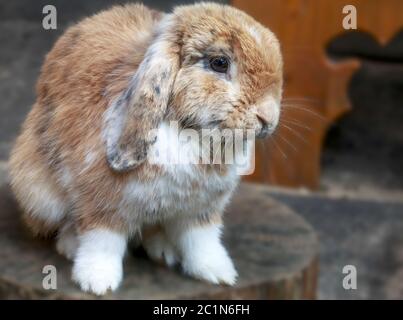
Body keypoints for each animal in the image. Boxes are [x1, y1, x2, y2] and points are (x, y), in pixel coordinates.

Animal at [7, 2, 282, 296]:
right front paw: (98, 282)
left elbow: (203, 242)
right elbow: (102, 241)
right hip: (39, 193)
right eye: (219, 63)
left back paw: (164, 251)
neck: (191, 133)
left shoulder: (201, 210)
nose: (268, 117)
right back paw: (70, 245)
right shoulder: (103, 202)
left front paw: (219, 274)